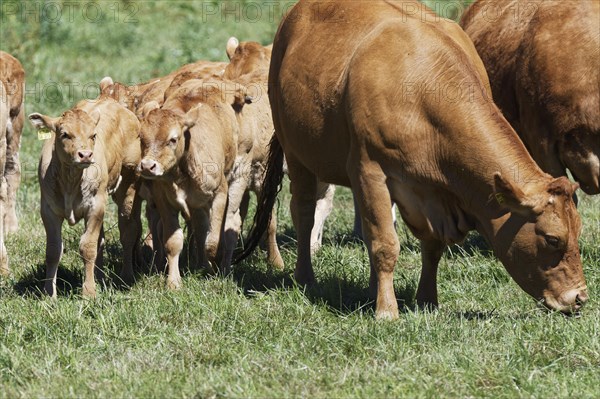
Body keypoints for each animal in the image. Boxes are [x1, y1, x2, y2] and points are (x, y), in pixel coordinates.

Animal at [30, 96, 143, 296]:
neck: (70, 181)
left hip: (128, 185)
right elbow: (53, 250)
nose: (85, 155)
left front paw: (89, 292)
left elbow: (87, 247)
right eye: (65, 134)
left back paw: (126, 275)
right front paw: (49, 293)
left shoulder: (95, 207)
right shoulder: (49, 210)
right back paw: (100, 277)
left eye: (93, 136)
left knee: (128, 231)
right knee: (101, 240)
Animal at [137, 78, 247, 288]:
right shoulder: (164, 201)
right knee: (200, 226)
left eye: (173, 139)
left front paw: (213, 269)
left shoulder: (220, 194)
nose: (147, 166)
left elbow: (212, 243)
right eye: (141, 138)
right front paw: (173, 282)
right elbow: (173, 242)